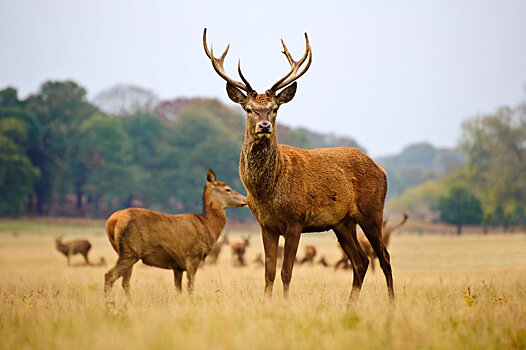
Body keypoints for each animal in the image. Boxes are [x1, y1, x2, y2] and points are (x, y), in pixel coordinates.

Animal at [105, 168, 250, 300]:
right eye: (227, 189)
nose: (246, 199)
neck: (208, 226)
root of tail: (111, 222)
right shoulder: (193, 256)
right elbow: (190, 287)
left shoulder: (177, 265)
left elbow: (178, 290)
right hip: (130, 250)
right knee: (109, 276)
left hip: (125, 252)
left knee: (125, 282)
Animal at [204, 28, 394, 304]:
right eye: (249, 109)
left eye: (274, 109)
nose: (264, 126)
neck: (268, 191)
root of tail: (381, 170)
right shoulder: (266, 225)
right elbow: (269, 272)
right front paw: (267, 303)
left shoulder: (296, 220)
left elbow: (286, 271)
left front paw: (284, 304)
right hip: (342, 223)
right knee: (361, 261)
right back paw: (350, 306)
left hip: (372, 210)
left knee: (384, 257)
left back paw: (392, 304)